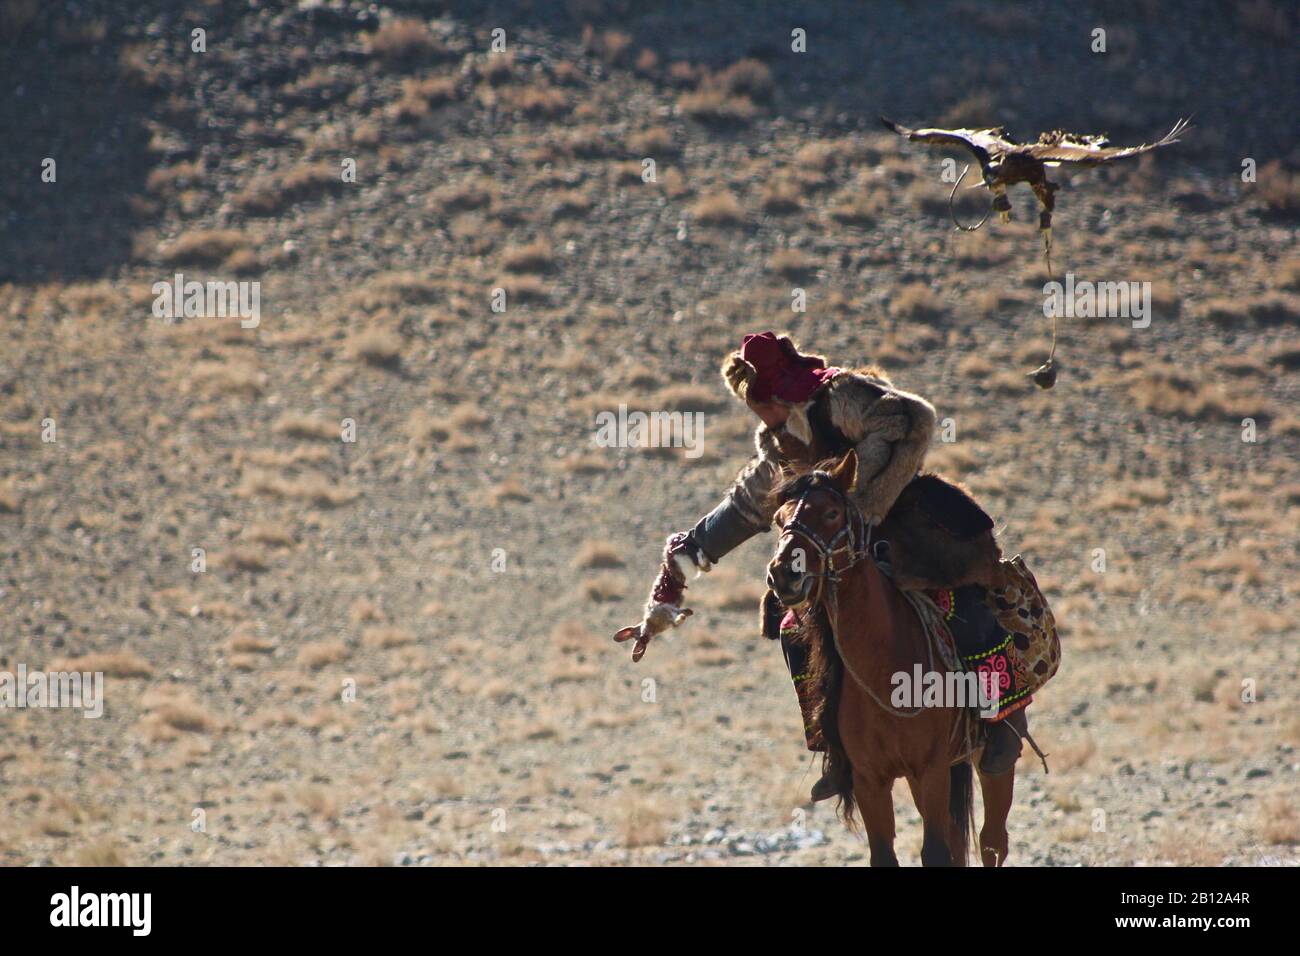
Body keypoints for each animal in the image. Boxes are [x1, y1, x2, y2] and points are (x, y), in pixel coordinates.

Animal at [759, 447, 1013, 868]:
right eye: (779, 519)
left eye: (831, 513)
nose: (783, 575)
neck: (885, 671)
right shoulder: (869, 779)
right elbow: (885, 853)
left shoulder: (931, 769)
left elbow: (936, 851)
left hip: (977, 761)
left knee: (992, 840)